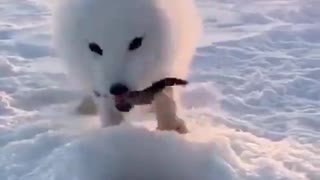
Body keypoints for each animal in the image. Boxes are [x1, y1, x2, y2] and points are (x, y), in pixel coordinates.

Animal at [52, 0, 202, 134]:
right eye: (94, 47)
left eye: (136, 42)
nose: (118, 89)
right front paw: (111, 132)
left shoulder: (168, 66)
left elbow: (166, 97)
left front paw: (171, 129)